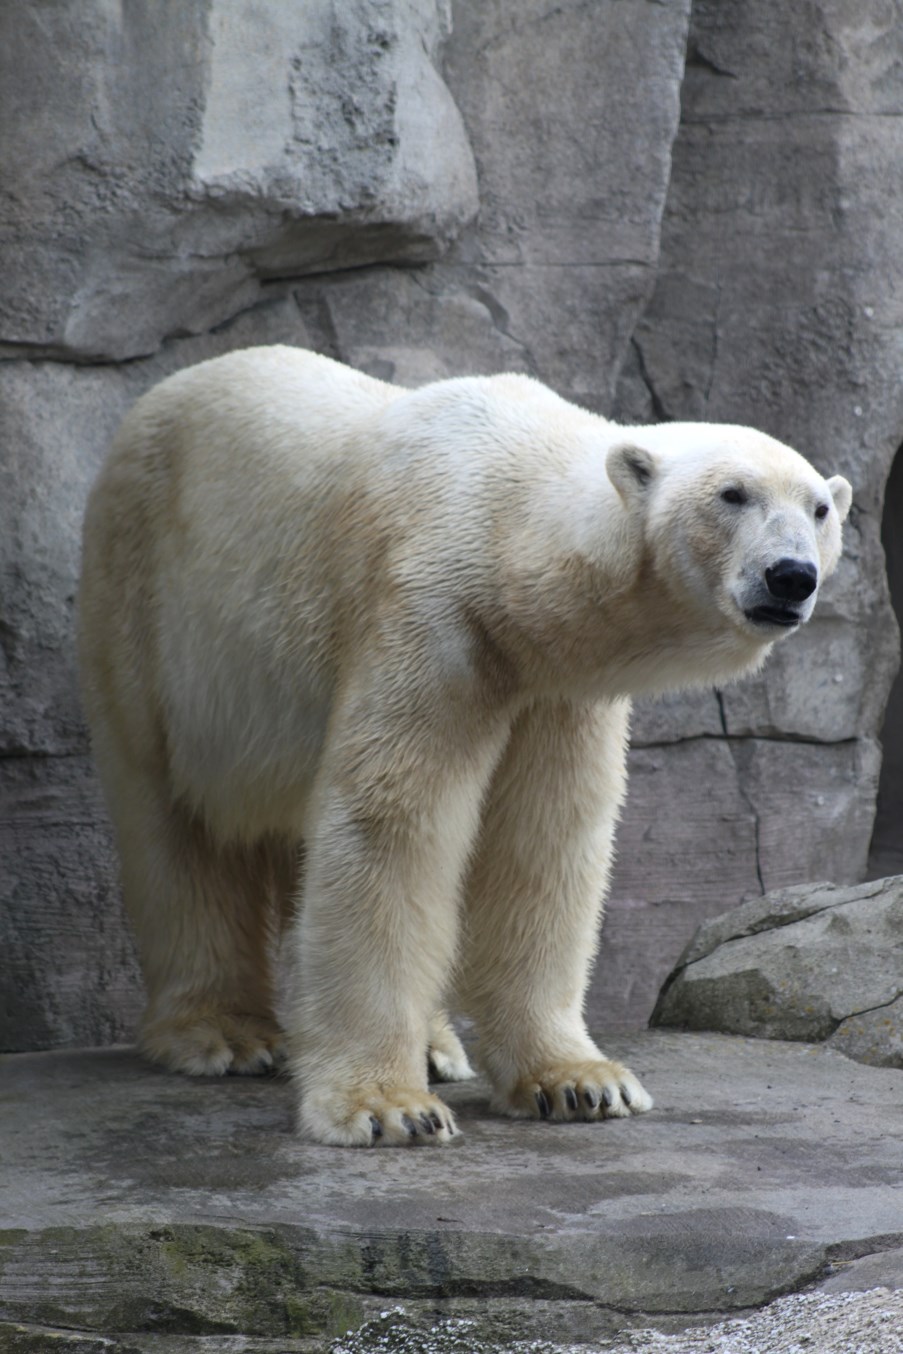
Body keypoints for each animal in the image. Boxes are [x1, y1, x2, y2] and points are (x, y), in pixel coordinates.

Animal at [78, 346, 852, 1146]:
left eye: (818, 509)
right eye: (732, 494)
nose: (791, 576)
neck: (506, 531)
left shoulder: (552, 686)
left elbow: (542, 839)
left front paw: (582, 1081)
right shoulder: (430, 619)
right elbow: (392, 825)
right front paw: (388, 1107)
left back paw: (434, 1043)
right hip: (147, 597)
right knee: (169, 816)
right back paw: (224, 1032)